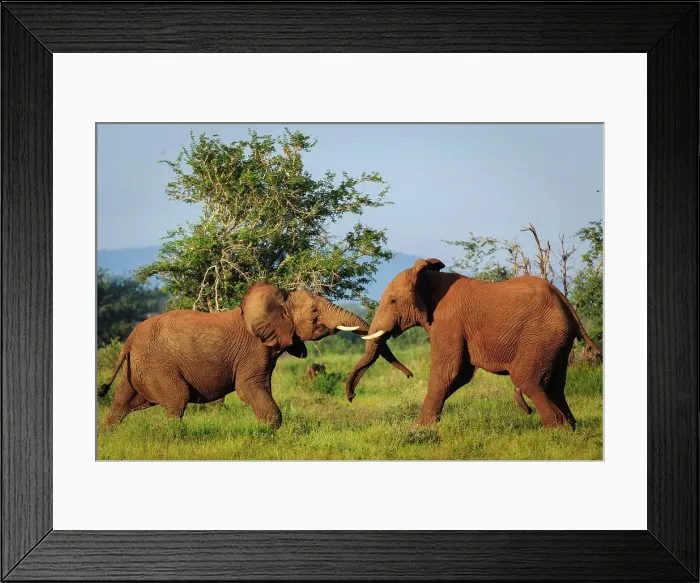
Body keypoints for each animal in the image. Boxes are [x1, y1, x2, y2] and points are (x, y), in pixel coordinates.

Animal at [99, 281, 413, 428]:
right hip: (157, 364)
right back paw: (172, 436)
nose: (410, 376)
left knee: (121, 403)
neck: (278, 301)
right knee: (176, 400)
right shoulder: (253, 350)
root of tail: (129, 341)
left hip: (139, 367)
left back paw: (110, 433)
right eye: (314, 312)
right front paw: (271, 432)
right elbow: (250, 388)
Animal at [345, 258, 602, 430]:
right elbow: (460, 375)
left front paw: (418, 430)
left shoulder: (448, 322)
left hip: (541, 336)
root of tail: (565, 302)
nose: (351, 398)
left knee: (527, 379)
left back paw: (555, 429)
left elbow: (447, 372)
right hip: (557, 341)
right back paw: (570, 428)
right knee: (555, 386)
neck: (429, 278)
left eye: (392, 301)